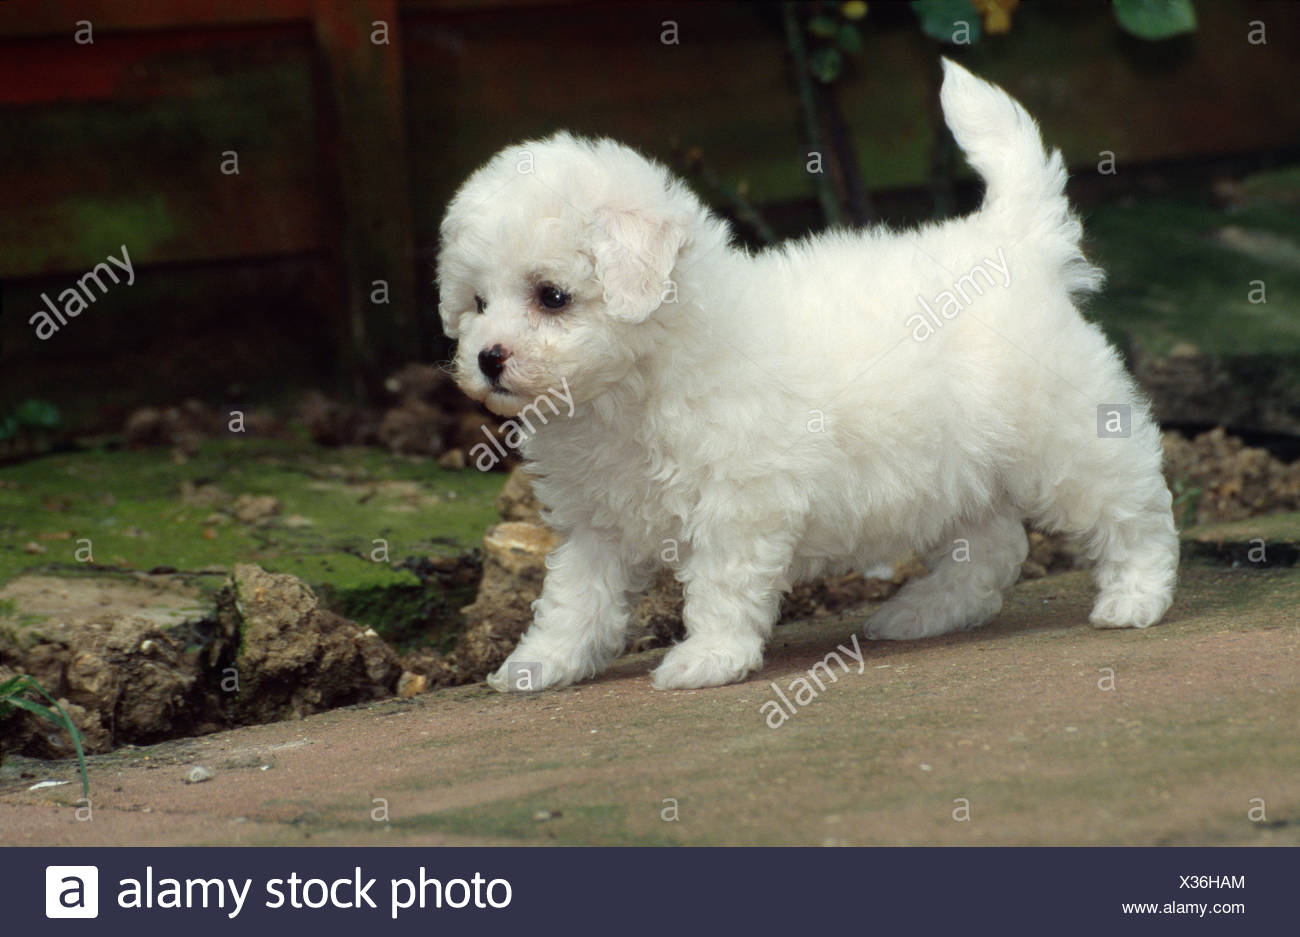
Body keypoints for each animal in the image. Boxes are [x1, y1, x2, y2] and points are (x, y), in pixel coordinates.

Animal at [436, 56, 1180, 686]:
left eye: (551, 297)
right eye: (477, 303)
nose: (487, 358)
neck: (642, 376)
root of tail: (1011, 241)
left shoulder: (740, 501)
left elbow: (722, 584)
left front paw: (708, 658)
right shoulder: (595, 519)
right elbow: (576, 597)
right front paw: (542, 663)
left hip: (1067, 436)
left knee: (1134, 507)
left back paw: (1137, 595)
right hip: (955, 465)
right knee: (994, 545)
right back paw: (925, 612)